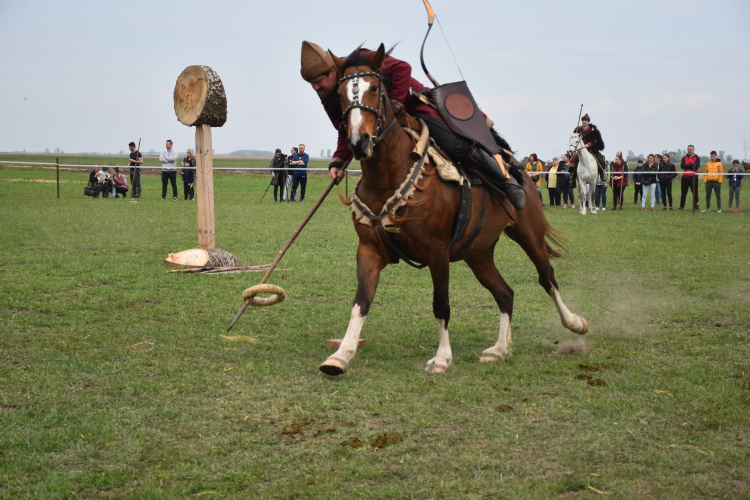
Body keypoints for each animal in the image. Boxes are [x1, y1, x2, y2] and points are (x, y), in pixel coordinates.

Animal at [320, 45, 592, 376]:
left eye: (375, 88)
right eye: (341, 95)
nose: (359, 142)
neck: (389, 175)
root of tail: (520, 171)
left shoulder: (437, 252)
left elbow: (441, 304)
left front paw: (442, 357)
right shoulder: (369, 251)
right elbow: (360, 303)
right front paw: (341, 355)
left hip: (529, 235)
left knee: (547, 279)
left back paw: (575, 323)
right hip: (479, 252)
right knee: (505, 293)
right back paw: (500, 349)